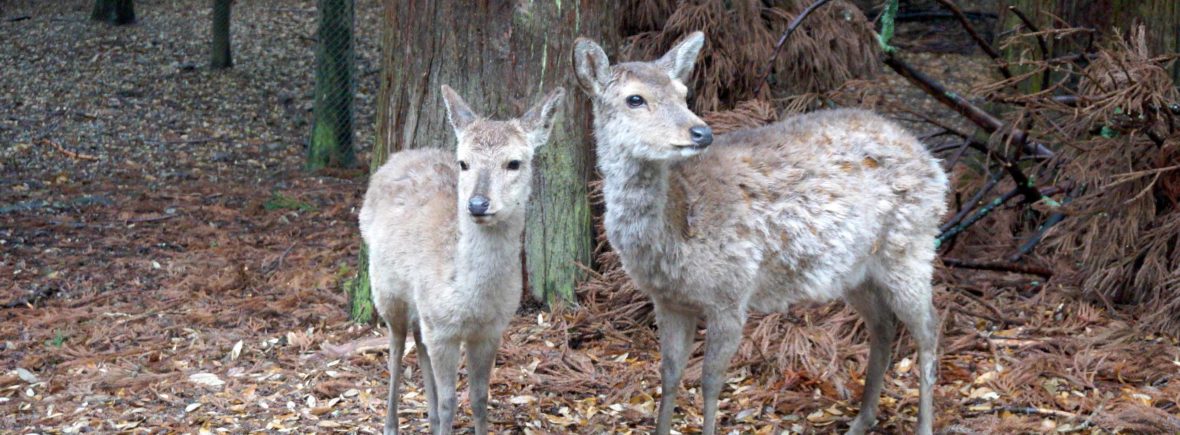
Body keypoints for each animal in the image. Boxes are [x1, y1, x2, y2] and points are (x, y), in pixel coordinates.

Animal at [571, 32, 948, 431]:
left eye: (683, 92)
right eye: (635, 99)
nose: (701, 132)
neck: (674, 238)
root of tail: (933, 161)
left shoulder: (731, 293)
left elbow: (710, 382)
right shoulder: (668, 300)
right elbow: (669, 374)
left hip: (910, 247)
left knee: (928, 327)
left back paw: (922, 425)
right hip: (856, 271)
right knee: (883, 325)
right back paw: (862, 421)